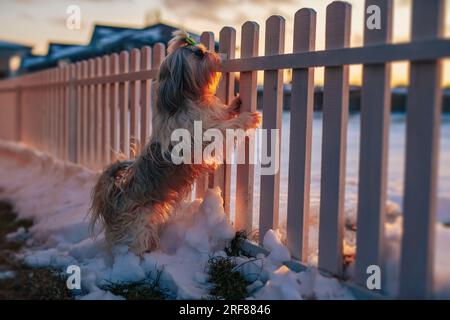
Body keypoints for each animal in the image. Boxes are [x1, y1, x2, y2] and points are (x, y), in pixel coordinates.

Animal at [89, 30, 262, 255]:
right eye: (199, 54)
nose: (217, 53)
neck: (185, 100)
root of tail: (114, 196)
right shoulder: (199, 139)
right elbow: (224, 128)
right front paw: (248, 118)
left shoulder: (209, 118)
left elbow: (221, 116)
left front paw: (235, 103)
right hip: (138, 224)